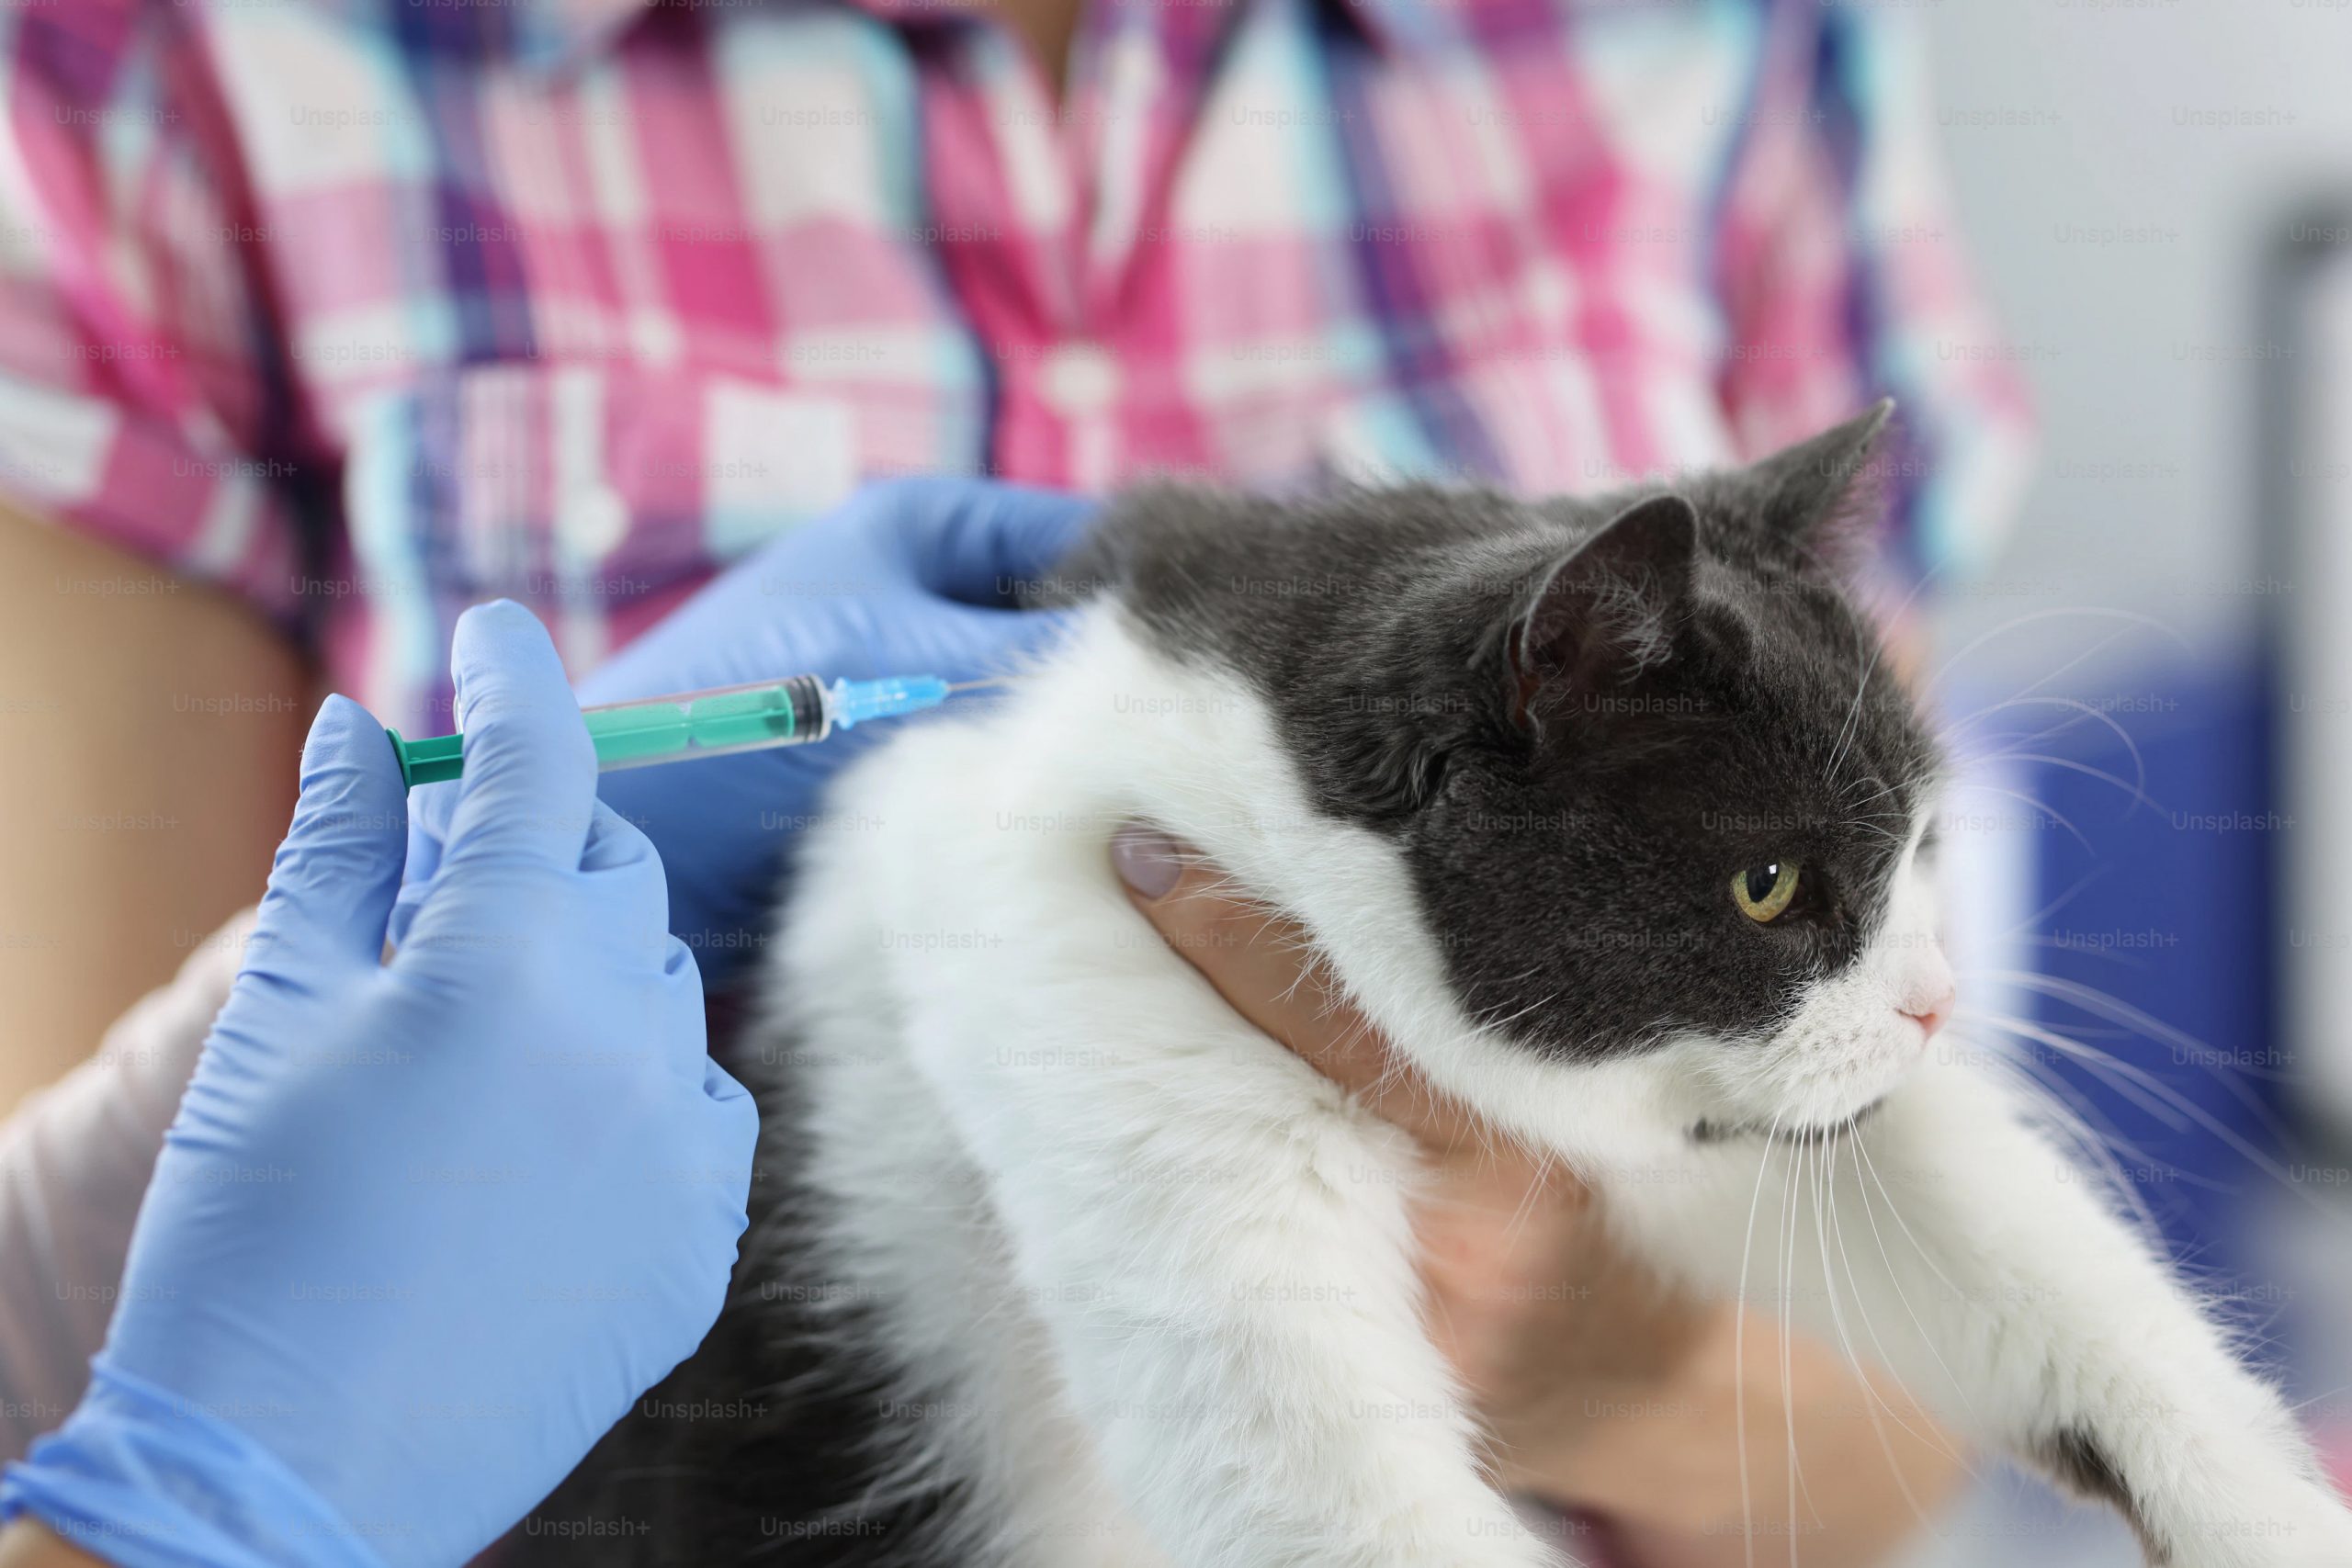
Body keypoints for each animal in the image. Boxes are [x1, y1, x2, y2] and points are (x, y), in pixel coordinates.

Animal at [519, 404, 2352, 1568]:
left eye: (1923, 844)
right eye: (1769, 885)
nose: (1935, 1005)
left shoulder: (1733, 1121)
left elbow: (2012, 1243)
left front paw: (2263, 1505)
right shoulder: (1084, 980)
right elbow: (1309, 1470)